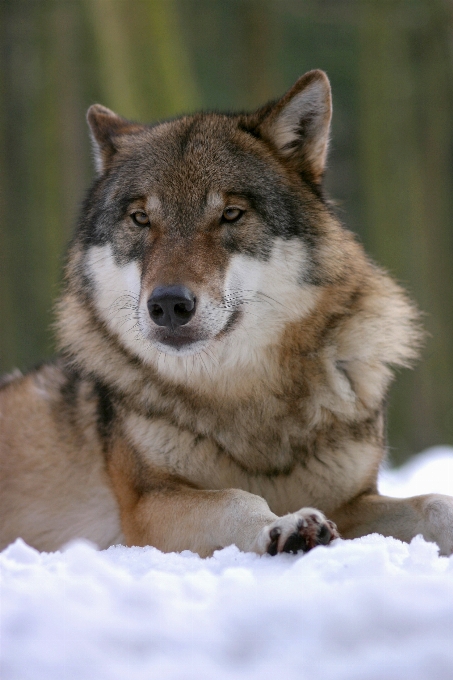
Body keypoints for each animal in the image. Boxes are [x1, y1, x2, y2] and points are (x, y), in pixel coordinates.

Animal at [0, 70, 452, 556]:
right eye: (141, 219)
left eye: (231, 214)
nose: (168, 305)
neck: (243, 393)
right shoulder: (148, 506)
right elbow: (240, 498)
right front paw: (288, 524)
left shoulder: (352, 500)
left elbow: (434, 504)